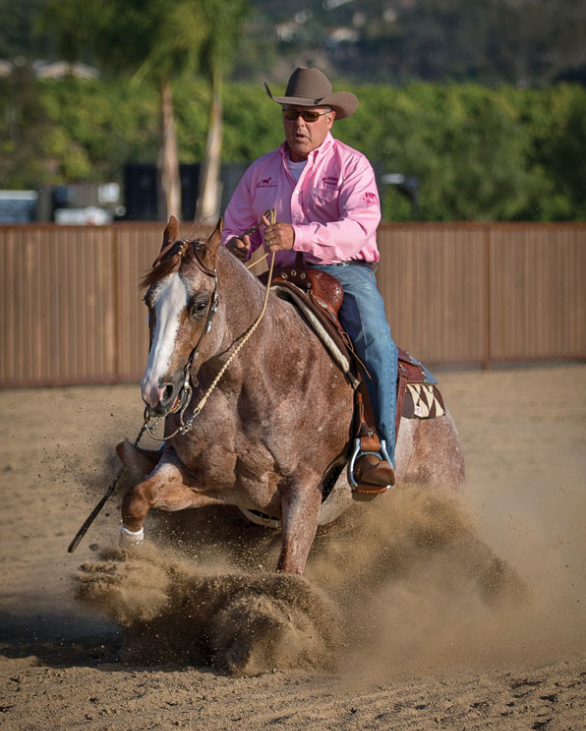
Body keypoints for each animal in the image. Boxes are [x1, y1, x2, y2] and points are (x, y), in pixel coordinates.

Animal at [117, 214, 466, 576]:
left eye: (200, 305)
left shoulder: (304, 489)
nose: (156, 388)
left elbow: (288, 572)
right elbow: (136, 498)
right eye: (149, 301)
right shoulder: (203, 478)